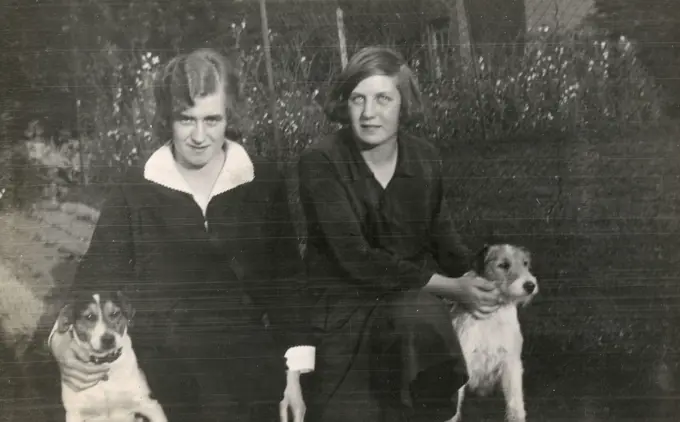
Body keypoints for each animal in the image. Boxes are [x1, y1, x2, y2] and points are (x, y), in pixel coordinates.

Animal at [55, 292, 167, 422]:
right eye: (89, 317)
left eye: (115, 313)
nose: (108, 339)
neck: (105, 362)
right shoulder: (75, 414)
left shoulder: (150, 404)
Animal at [448, 244, 540, 422]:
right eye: (503, 265)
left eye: (525, 263)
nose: (530, 285)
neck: (492, 316)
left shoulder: (511, 362)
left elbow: (515, 399)